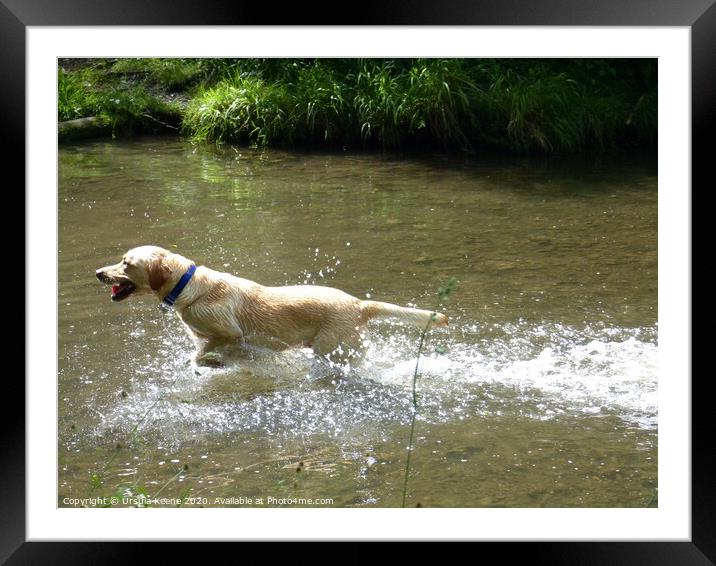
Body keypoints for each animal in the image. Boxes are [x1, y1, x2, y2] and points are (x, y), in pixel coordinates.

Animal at [95, 246, 448, 366]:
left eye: (126, 263)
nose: (98, 272)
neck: (188, 287)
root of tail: (359, 304)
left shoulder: (228, 333)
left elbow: (203, 354)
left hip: (333, 349)